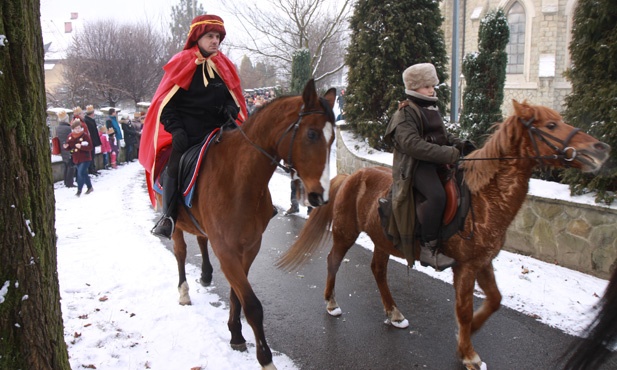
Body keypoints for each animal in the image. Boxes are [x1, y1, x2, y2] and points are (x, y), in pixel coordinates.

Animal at [161, 79, 334, 368]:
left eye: (333, 138)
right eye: (311, 134)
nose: (319, 196)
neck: (239, 180)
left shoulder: (250, 247)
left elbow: (236, 295)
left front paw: (236, 334)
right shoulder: (227, 251)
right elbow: (252, 305)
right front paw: (265, 358)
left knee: (201, 240)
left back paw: (206, 275)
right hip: (176, 227)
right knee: (181, 252)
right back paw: (184, 292)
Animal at [276, 100, 608, 370]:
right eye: (550, 125)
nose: (600, 149)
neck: (483, 199)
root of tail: (349, 177)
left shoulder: (483, 262)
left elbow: (495, 300)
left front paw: (471, 332)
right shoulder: (466, 267)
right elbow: (463, 309)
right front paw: (468, 352)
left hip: (383, 240)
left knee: (378, 271)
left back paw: (394, 314)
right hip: (346, 232)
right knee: (333, 260)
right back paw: (332, 304)